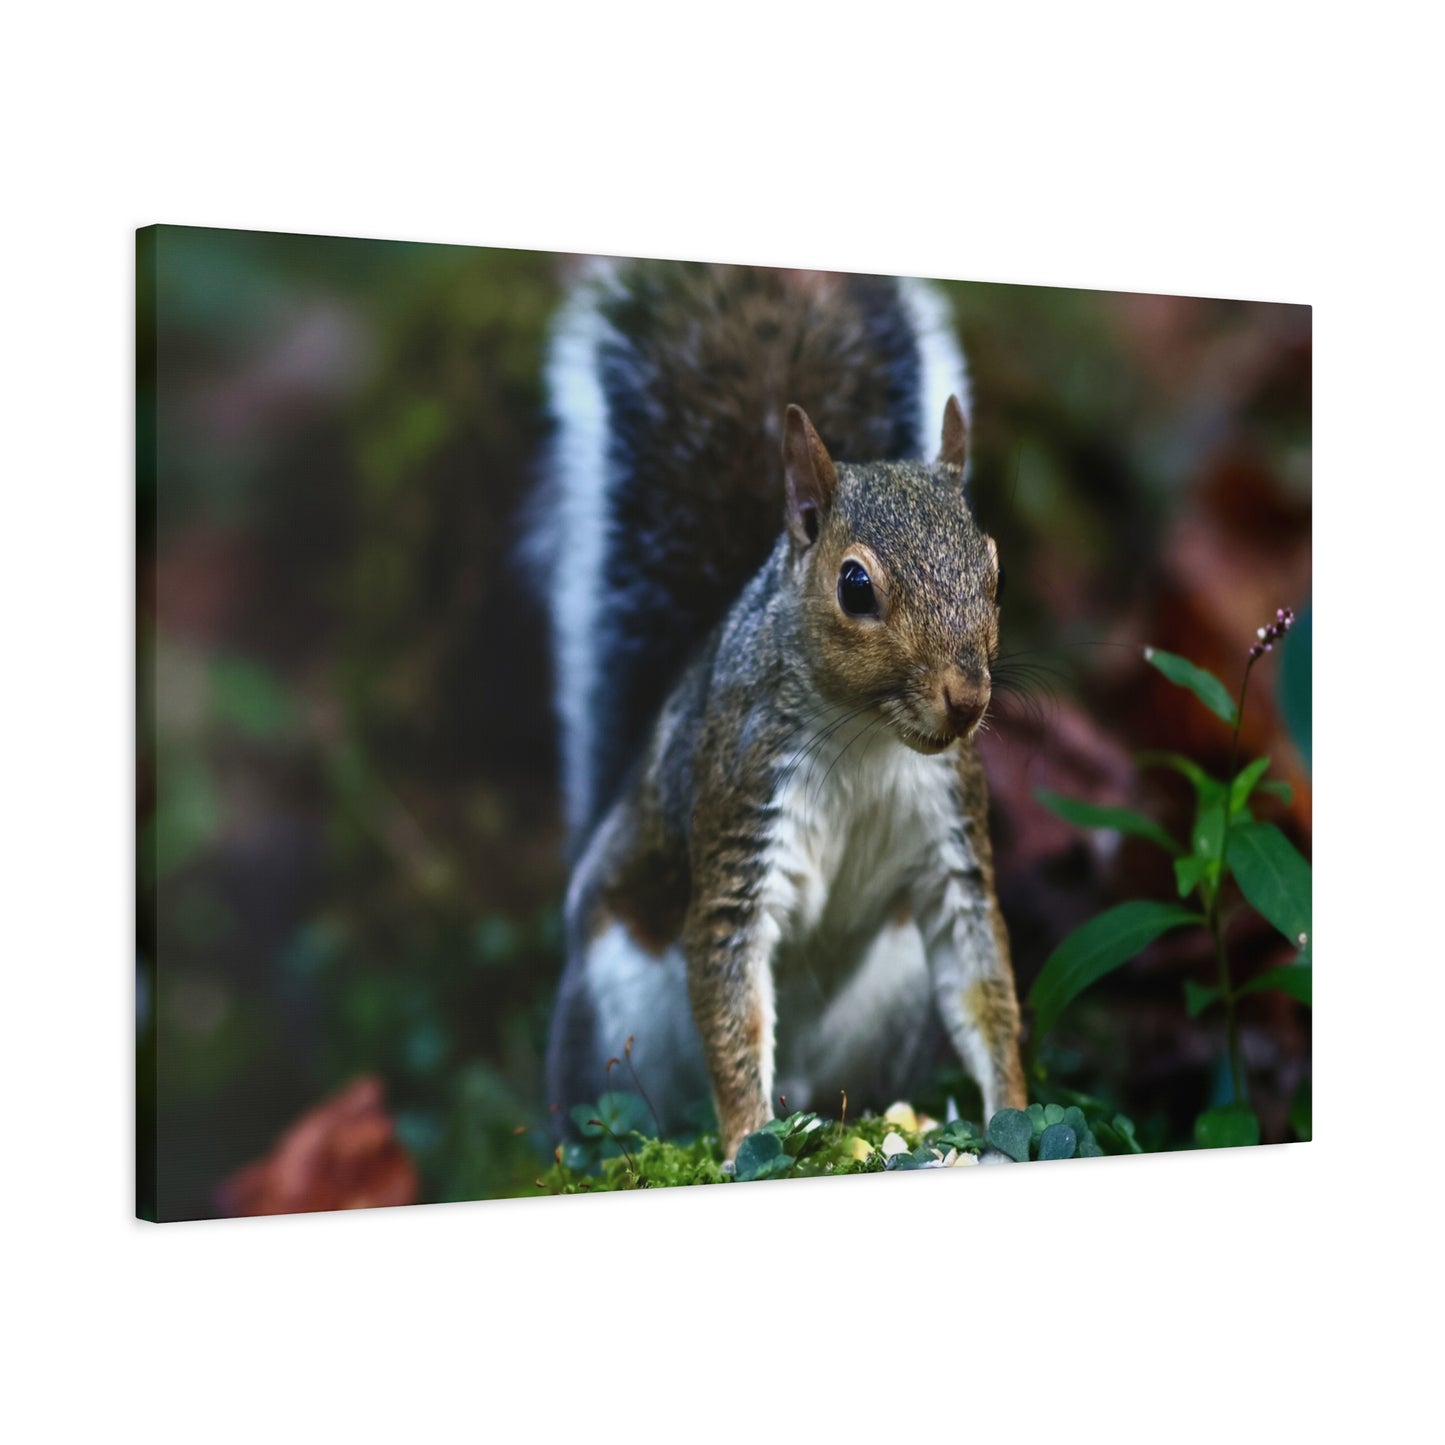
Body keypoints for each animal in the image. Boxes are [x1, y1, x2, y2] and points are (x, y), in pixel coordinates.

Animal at [532, 259, 1027, 1160]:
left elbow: (983, 986)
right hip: (611, 1005)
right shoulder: (741, 806)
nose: (967, 698)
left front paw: (1009, 1110)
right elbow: (730, 997)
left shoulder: (949, 836)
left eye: (995, 570)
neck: (868, 736)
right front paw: (743, 1141)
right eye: (854, 585)